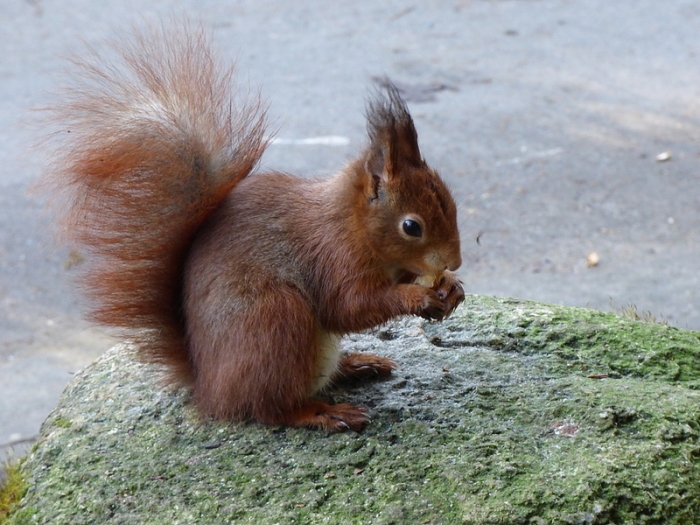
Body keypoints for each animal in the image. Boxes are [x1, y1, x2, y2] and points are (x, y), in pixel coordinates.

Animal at [41, 24, 464, 432]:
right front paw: (419, 296)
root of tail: (209, 388)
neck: (354, 225)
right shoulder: (332, 256)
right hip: (276, 319)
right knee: (270, 406)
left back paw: (356, 363)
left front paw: (451, 289)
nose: (455, 262)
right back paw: (323, 413)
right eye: (411, 226)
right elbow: (349, 307)